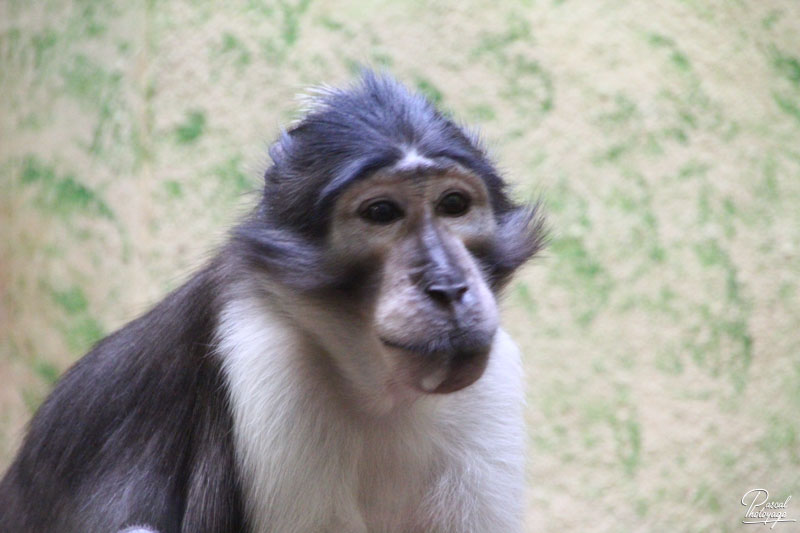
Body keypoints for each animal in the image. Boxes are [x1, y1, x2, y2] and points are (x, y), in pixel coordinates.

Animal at [0, 71, 544, 532]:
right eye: (381, 212)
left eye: (453, 204)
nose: (448, 287)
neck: (376, 391)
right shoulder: (268, 360)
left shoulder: (489, 386)